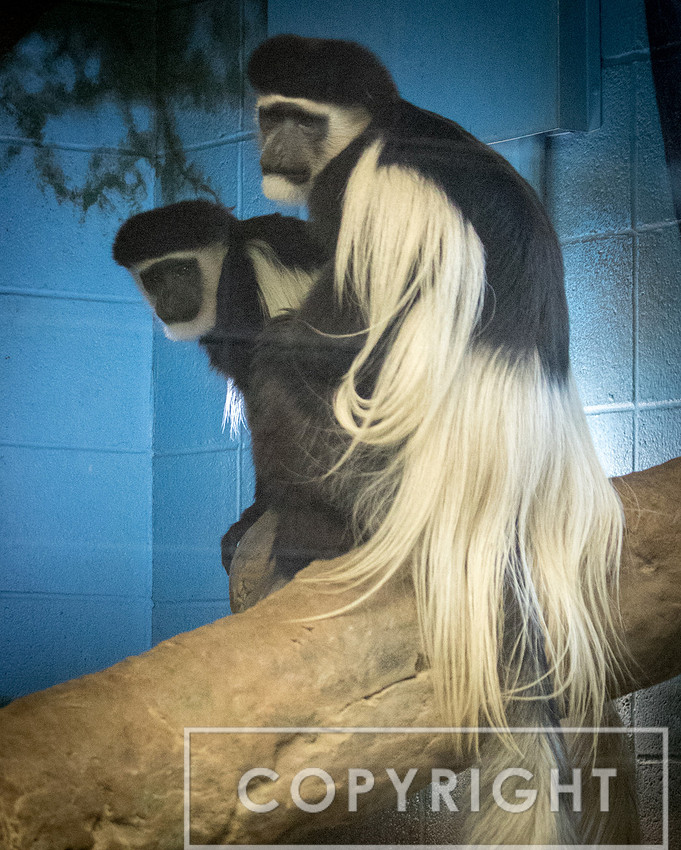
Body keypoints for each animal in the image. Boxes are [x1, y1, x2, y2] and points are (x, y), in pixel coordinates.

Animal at [114, 34, 638, 845]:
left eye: (297, 117)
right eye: (267, 115)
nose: (273, 147)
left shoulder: (338, 200)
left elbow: (346, 330)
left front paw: (259, 516)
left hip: (379, 466)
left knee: (288, 369)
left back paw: (306, 538)